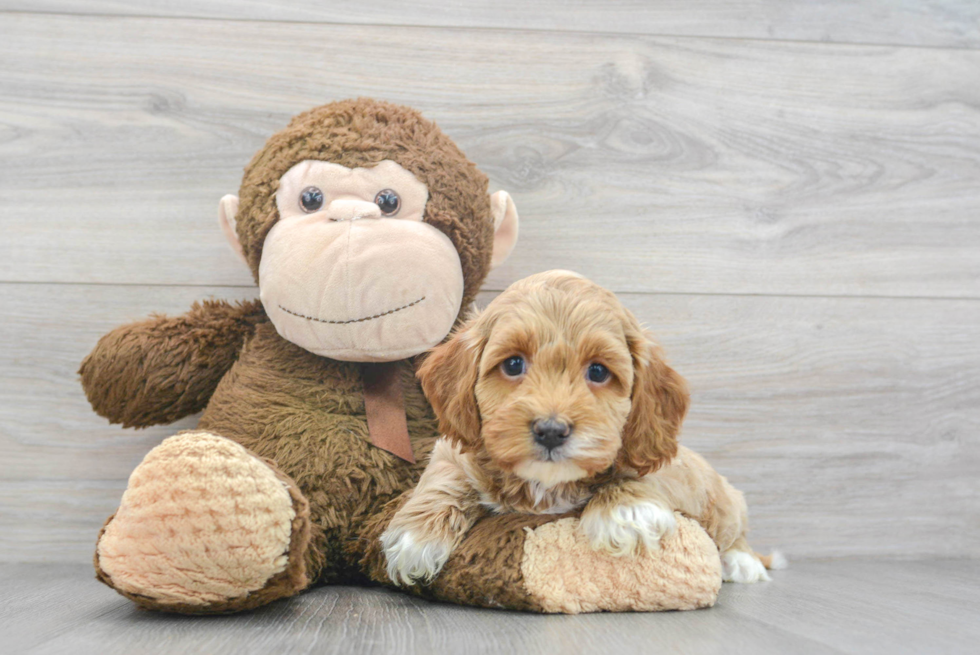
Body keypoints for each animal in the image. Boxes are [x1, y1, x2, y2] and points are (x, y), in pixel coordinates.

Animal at [378, 270, 784, 588]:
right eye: (513, 364)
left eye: (599, 372)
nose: (551, 430)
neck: (544, 486)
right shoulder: (453, 449)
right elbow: (446, 476)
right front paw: (417, 537)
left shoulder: (657, 458)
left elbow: (639, 473)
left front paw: (627, 512)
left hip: (726, 502)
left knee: (735, 532)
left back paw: (743, 562)